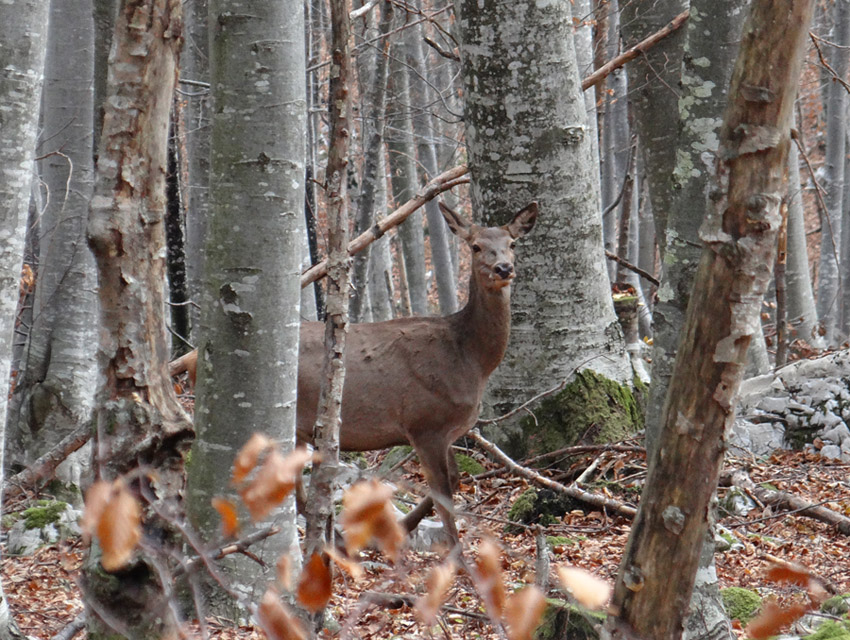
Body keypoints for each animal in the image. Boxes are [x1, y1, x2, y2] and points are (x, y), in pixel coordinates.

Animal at [168, 200, 532, 544]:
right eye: (476, 246)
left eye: (512, 243)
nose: (504, 268)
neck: (471, 359)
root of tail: (192, 356)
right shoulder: (424, 422)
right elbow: (444, 495)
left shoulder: (445, 432)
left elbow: (454, 481)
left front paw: (403, 527)